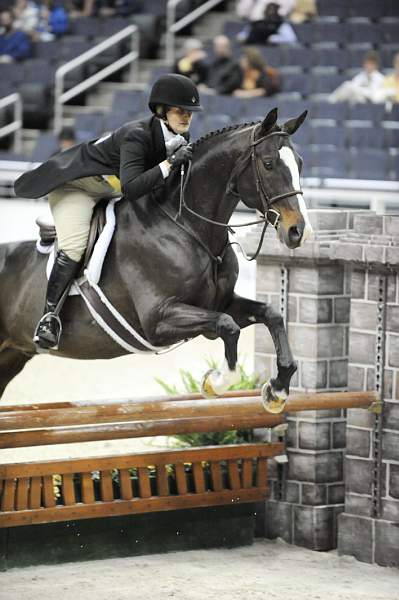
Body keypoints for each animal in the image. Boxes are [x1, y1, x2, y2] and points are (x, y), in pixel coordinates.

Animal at [0, 105, 312, 410]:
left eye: (300, 163)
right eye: (268, 163)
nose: (299, 232)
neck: (184, 225)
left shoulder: (220, 303)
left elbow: (270, 315)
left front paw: (277, 390)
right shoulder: (158, 319)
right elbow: (227, 325)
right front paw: (216, 382)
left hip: (13, 355)